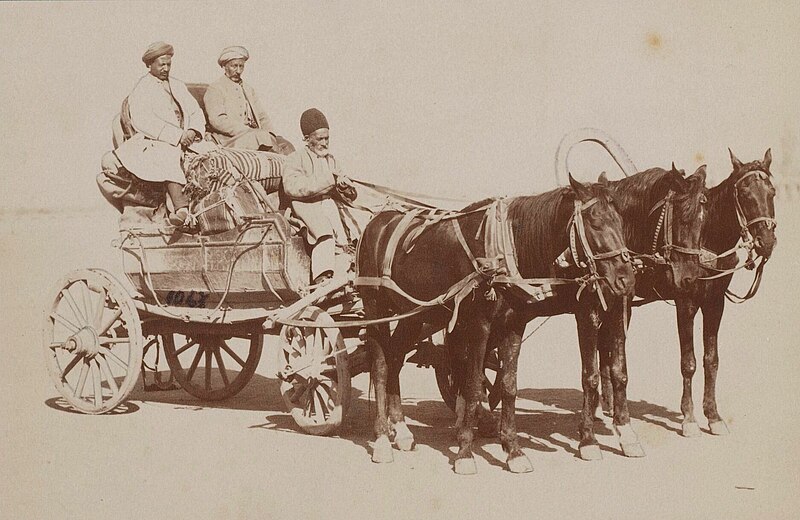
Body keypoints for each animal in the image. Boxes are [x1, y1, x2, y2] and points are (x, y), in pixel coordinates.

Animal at [358, 176, 636, 476]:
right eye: (595, 222)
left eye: (621, 221)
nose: (626, 278)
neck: (503, 250)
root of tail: (377, 221)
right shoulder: (481, 325)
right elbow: (472, 385)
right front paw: (465, 452)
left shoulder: (514, 325)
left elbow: (508, 385)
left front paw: (513, 450)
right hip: (374, 306)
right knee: (381, 366)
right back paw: (382, 439)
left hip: (414, 314)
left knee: (395, 357)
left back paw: (402, 430)